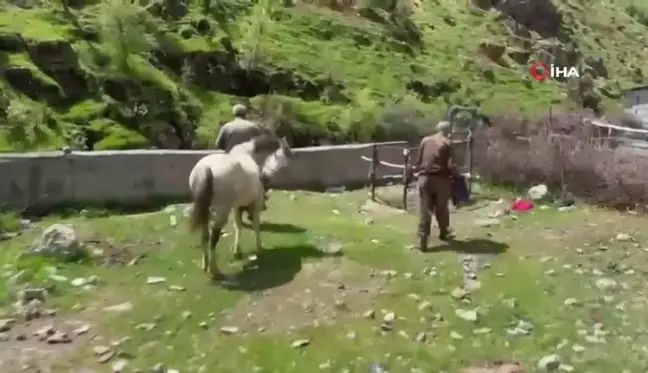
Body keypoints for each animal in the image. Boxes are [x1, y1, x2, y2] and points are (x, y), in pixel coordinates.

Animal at [187, 133, 294, 280]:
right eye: (279, 157)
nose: (265, 177)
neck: (248, 152)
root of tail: (206, 169)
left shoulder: (236, 206)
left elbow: (238, 226)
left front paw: (237, 251)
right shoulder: (255, 204)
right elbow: (255, 225)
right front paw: (259, 248)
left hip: (206, 210)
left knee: (205, 235)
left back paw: (205, 264)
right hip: (221, 212)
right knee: (213, 237)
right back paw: (214, 271)